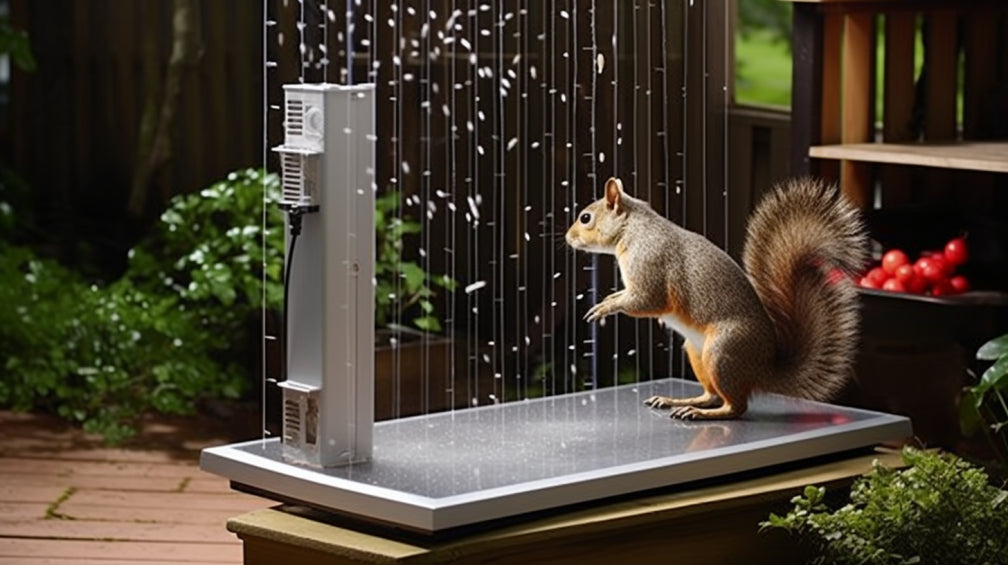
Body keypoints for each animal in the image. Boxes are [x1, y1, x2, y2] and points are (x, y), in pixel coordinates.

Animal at [565, 177, 868, 420]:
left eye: (585, 218)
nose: (568, 238)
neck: (632, 229)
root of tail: (761, 370)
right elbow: (628, 295)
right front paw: (610, 299)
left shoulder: (650, 263)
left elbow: (648, 301)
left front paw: (605, 307)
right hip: (697, 352)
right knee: (712, 395)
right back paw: (679, 401)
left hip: (723, 352)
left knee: (736, 407)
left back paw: (700, 413)